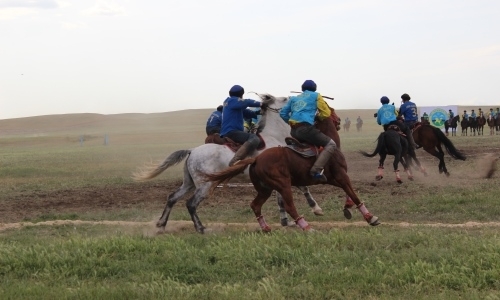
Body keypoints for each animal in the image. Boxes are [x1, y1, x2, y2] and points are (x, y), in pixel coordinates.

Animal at [133, 94, 322, 234]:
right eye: (283, 99)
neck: (273, 137)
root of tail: (192, 151)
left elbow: (281, 198)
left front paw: (286, 221)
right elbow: (302, 188)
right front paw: (316, 209)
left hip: (189, 183)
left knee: (172, 198)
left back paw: (161, 225)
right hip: (205, 185)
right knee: (191, 204)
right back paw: (201, 228)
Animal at [204, 107, 378, 232]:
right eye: (333, 111)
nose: (340, 120)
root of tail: (256, 159)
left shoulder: (334, 179)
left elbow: (349, 193)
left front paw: (348, 209)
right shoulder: (341, 176)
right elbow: (353, 194)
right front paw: (370, 217)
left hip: (265, 189)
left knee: (255, 205)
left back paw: (266, 228)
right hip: (283, 185)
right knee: (289, 206)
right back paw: (306, 227)